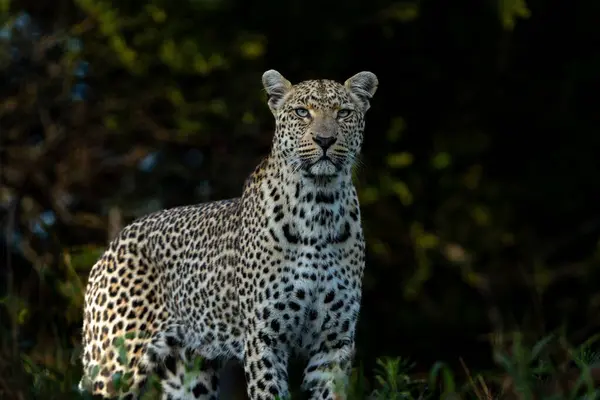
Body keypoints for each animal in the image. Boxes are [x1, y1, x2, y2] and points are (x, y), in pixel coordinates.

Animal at [78, 69, 380, 400]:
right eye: (302, 112)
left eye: (344, 113)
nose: (325, 140)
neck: (320, 206)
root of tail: (110, 249)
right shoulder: (264, 337)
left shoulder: (333, 342)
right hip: (116, 365)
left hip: (190, 375)